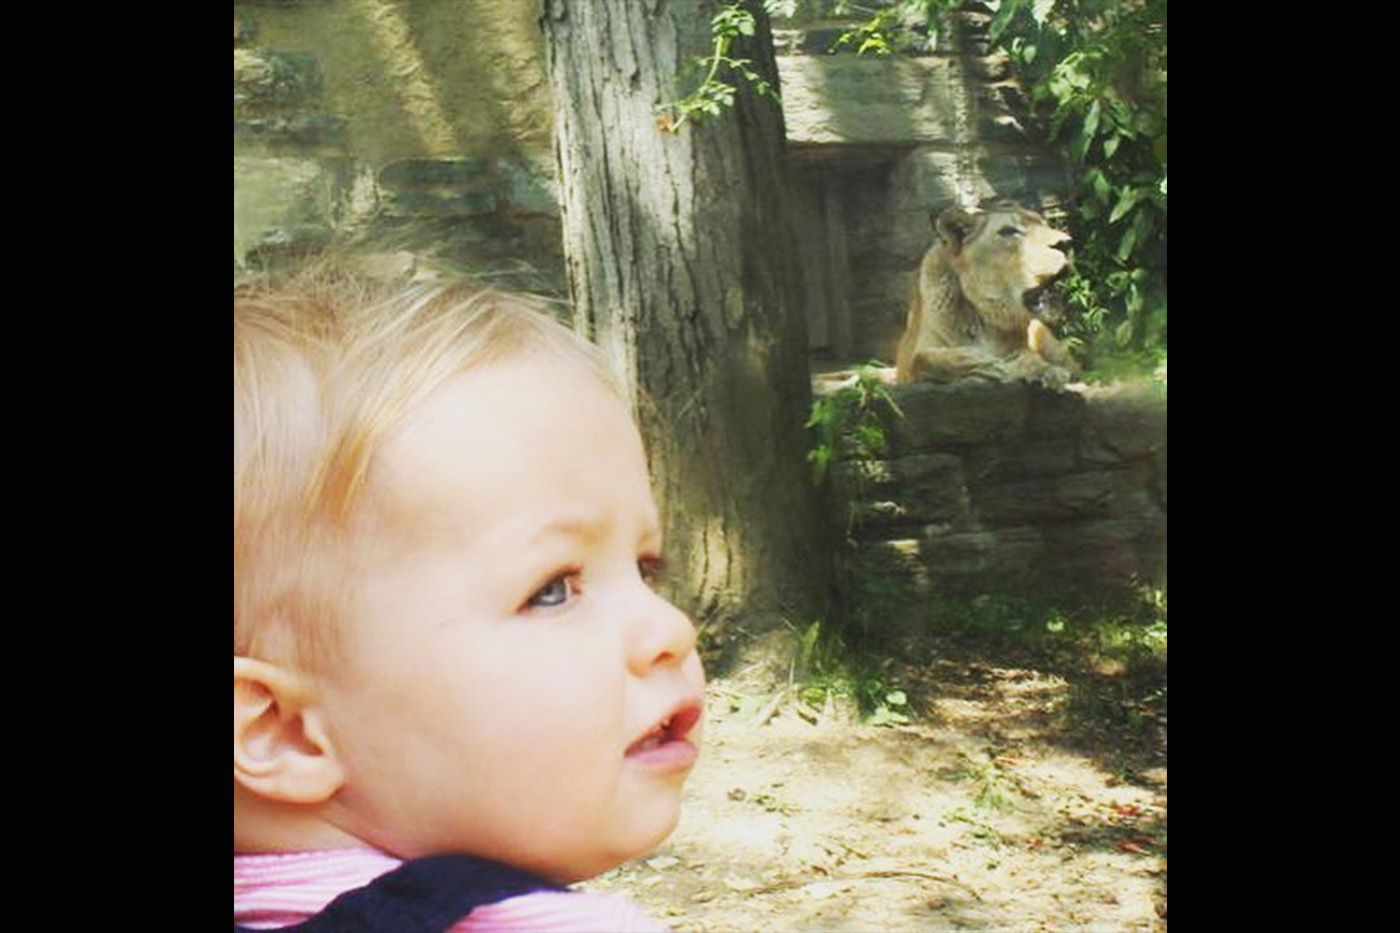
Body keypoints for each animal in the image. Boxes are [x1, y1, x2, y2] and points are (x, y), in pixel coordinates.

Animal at [894, 201, 1078, 385]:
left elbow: (1029, 357)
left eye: (1045, 224)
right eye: (1008, 231)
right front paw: (990, 367)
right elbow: (923, 360)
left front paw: (1043, 370)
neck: (981, 319)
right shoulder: (908, 366)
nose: (1066, 243)